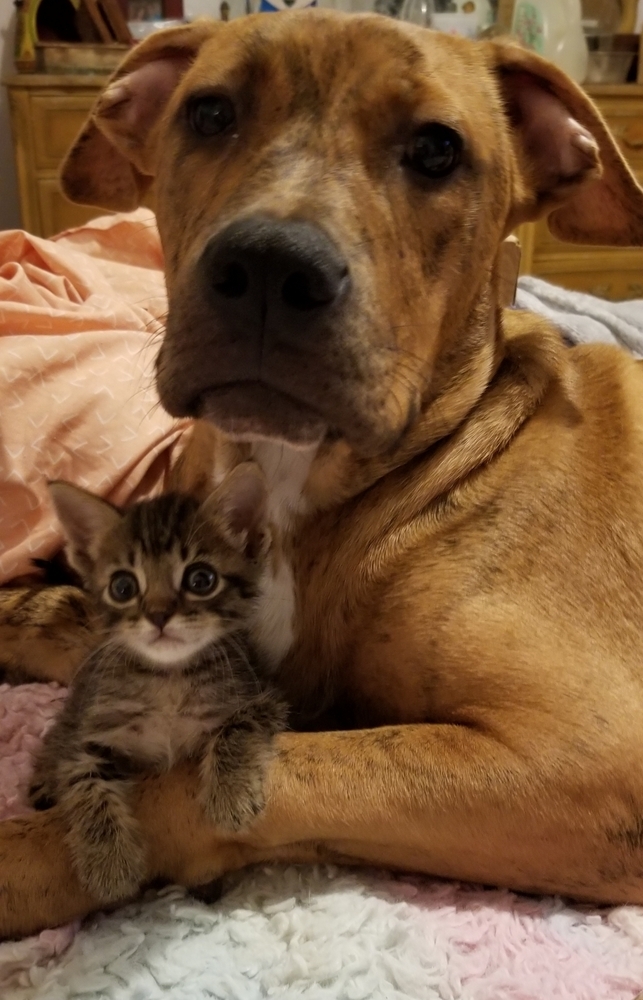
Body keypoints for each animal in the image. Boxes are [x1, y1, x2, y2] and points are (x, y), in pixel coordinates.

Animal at [30, 464, 286, 912]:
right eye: (123, 587)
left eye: (201, 579)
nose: (159, 615)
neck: (168, 679)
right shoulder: (91, 729)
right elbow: (83, 779)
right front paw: (109, 865)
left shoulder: (263, 695)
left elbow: (238, 727)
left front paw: (231, 797)